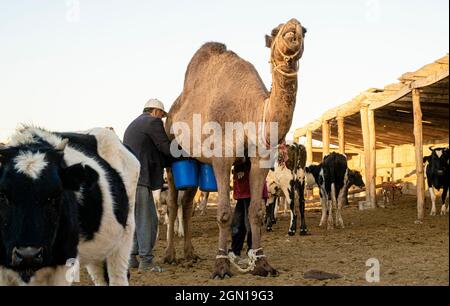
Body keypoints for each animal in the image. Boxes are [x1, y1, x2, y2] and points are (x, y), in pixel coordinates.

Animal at [0, 126, 140, 284]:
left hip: (124, 238)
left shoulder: (64, 263)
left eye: (56, 194)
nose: (28, 254)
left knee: (118, 277)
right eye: (3, 194)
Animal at [163, 17, 308, 278]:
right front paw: (221, 266)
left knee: (187, 202)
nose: (293, 27)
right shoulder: (222, 155)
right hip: (172, 153)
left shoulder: (260, 159)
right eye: (275, 31)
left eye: (305, 30)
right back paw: (170, 255)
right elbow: (223, 213)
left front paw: (262, 263)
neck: (251, 111)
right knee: (172, 202)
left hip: (195, 160)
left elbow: (256, 212)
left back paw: (190, 254)